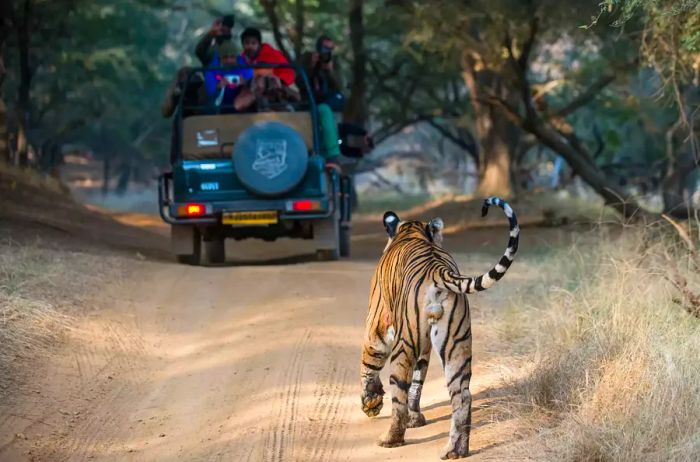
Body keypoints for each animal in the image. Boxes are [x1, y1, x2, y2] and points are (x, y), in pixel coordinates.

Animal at [360, 197, 520, 460]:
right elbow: (418, 380)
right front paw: (415, 418)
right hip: (456, 343)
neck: (412, 230)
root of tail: (437, 270)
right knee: (462, 396)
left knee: (399, 394)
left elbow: (369, 364)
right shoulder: (424, 346)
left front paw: (370, 402)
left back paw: (391, 439)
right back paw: (456, 450)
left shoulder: (376, 324)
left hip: (404, 344)